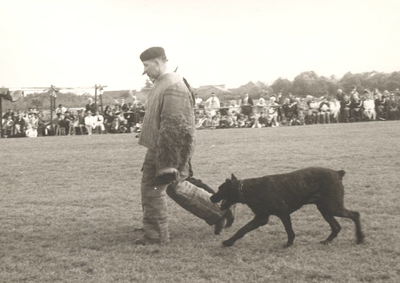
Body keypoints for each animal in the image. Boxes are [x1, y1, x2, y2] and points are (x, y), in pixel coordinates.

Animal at [211, 168, 364, 247]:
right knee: (336, 227)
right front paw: (229, 241)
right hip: (325, 209)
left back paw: (360, 238)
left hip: (332, 207)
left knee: (355, 215)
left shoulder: (282, 213)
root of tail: (337, 173)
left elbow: (289, 230)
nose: (211, 197)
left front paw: (289, 243)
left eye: (220, 189)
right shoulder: (261, 218)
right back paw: (327, 241)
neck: (248, 189)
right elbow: (243, 229)